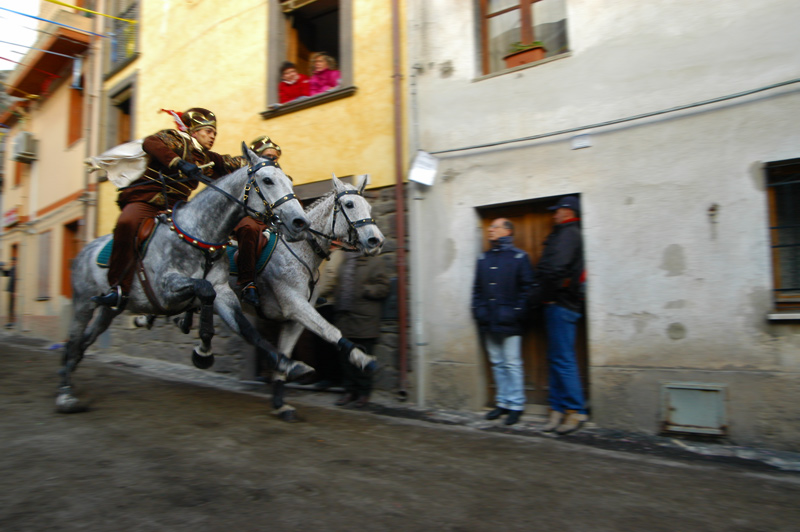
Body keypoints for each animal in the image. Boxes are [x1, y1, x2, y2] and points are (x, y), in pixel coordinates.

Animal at [57, 144, 314, 412]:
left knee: (83, 342)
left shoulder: (224, 292)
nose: (300, 222)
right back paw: (65, 395)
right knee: (73, 341)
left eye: (289, 181)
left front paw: (289, 365)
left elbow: (246, 328)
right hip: (84, 304)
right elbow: (204, 290)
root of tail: (83, 252)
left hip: (108, 311)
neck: (200, 235)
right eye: (267, 180)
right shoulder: (165, 290)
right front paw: (202, 349)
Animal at [252, 177, 386, 422]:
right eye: (350, 204)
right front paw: (363, 359)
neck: (298, 249)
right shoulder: (295, 305)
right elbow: (330, 331)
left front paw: (280, 403)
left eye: (369, 207)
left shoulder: (295, 316)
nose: (376, 241)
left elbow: (286, 350)